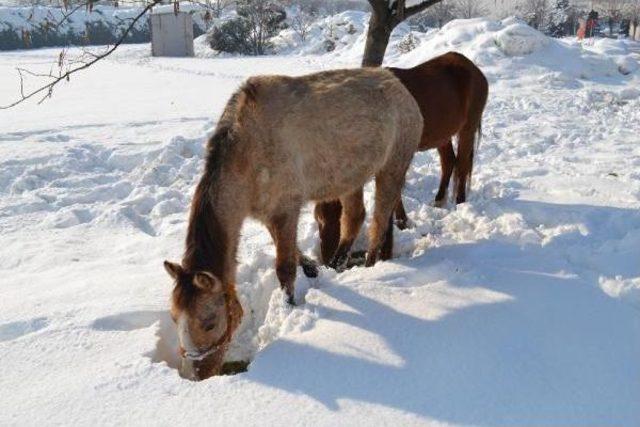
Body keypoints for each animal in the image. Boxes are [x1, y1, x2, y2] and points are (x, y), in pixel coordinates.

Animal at [162, 67, 422, 382]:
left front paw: (289, 305)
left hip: (391, 168)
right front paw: (314, 269)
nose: (195, 375)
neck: (247, 152)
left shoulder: (286, 209)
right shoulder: (268, 214)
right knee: (354, 218)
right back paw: (337, 262)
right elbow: (295, 254)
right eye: (173, 318)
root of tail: (400, 86)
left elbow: (284, 268)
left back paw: (370, 267)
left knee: (379, 221)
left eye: (209, 322)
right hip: (352, 177)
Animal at [316, 51, 490, 266]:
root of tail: (473, 68)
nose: (325, 259)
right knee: (449, 162)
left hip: (468, 128)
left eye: (331, 219)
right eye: (317, 220)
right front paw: (401, 222)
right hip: (443, 135)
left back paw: (460, 203)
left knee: (463, 165)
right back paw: (439, 200)